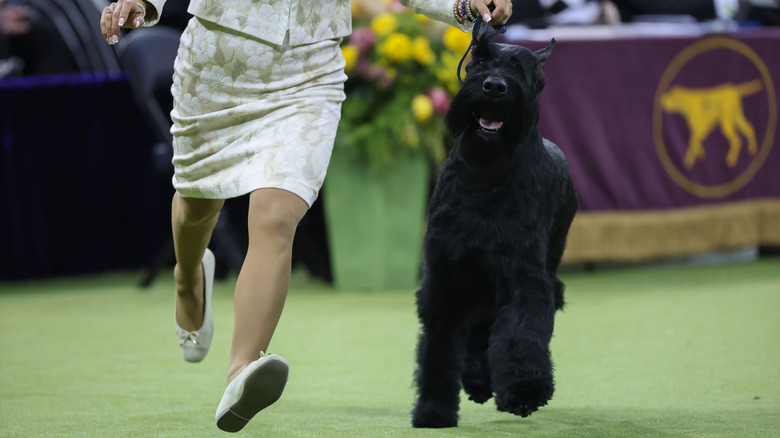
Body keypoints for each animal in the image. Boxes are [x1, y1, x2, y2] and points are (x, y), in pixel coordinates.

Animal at [412, 30, 576, 428]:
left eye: (521, 68)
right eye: (480, 60)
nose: (493, 86)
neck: (486, 173)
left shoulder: (522, 277)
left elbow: (519, 333)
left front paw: (524, 391)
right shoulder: (444, 280)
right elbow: (437, 352)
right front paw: (433, 410)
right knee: (478, 332)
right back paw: (476, 379)